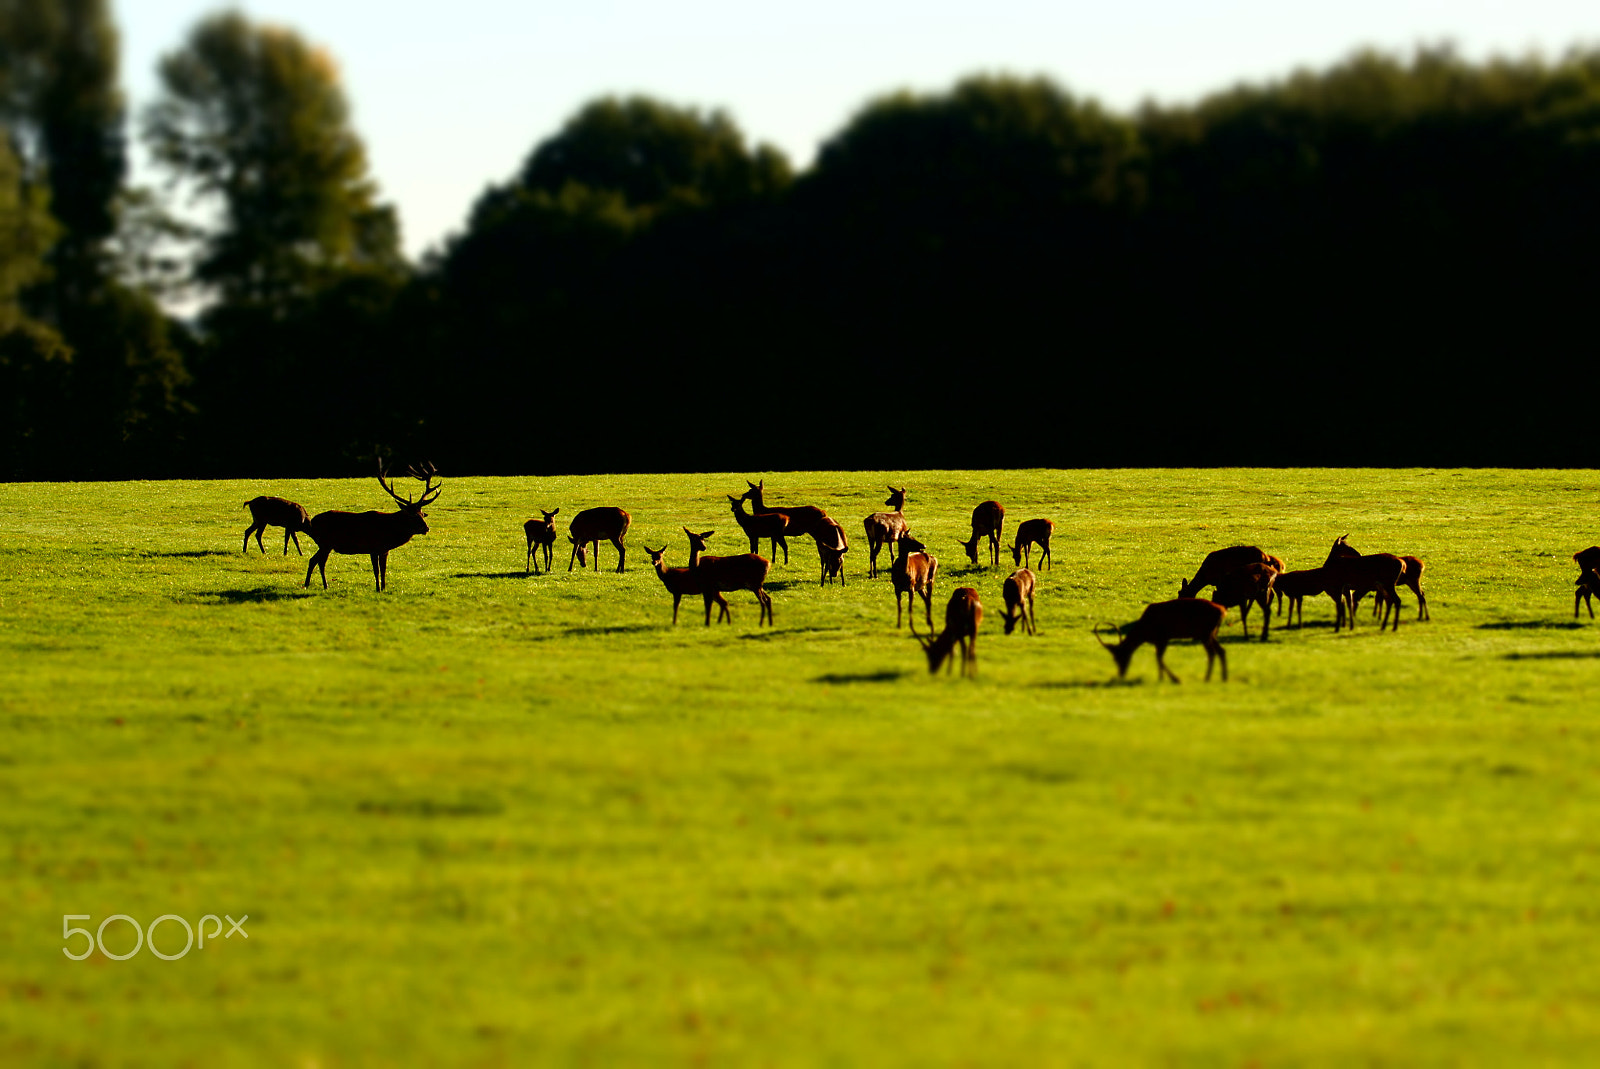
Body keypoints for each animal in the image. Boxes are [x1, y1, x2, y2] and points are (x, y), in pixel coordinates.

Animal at [304, 463, 441, 592]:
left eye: (422, 514)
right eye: (411, 515)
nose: (426, 528)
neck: (389, 531)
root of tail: (312, 523)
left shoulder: (384, 550)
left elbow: (384, 569)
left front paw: (384, 588)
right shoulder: (373, 547)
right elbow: (376, 570)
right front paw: (378, 588)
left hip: (325, 545)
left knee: (313, 560)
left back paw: (308, 584)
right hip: (325, 543)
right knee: (320, 562)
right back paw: (323, 585)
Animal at [1095, 599, 1228, 683]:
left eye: (1120, 656)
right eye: (1114, 659)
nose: (1121, 674)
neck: (1144, 631)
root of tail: (1222, 611)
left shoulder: (1163, 638)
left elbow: (1159, 658)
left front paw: (1175, 679)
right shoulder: (1158, 641)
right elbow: (1158, 658)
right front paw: (1161, 678)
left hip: (1205, 633)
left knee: (1212, 653)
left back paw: (1207, 678)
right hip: (1211, 633)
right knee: (1221, 650)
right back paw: (1223, 677)